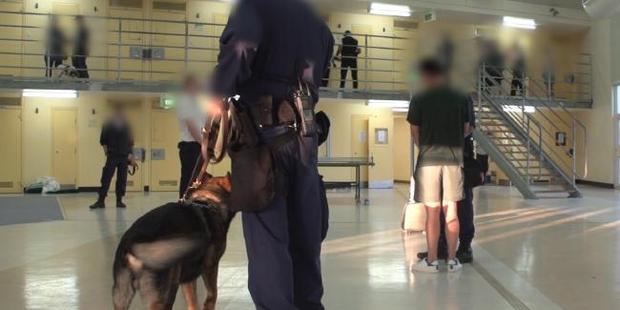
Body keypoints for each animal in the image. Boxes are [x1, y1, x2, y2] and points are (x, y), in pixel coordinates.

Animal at [111, 176, 235, 308]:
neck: (209, 202)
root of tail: (132, 243)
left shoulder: (188, 278)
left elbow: (192, 303)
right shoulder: (210, 267)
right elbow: (213, 294)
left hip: (121, 295)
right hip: (164, 294)